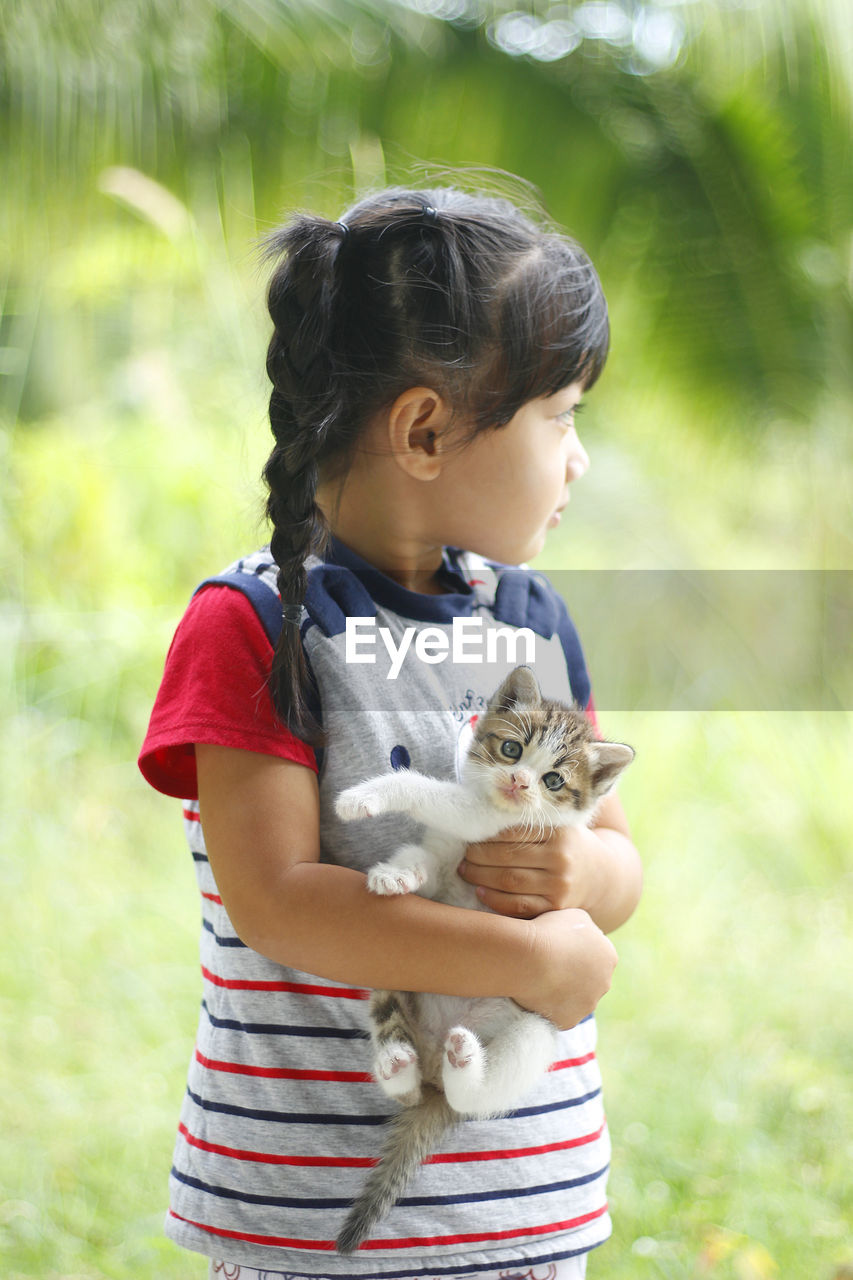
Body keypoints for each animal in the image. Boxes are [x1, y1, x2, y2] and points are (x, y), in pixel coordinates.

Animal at [333, 665, 630, 1254]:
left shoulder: (489, 828)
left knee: (470, 1097)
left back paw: (464, 1063)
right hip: (389, 971)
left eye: (554, 781)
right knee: (404, 1073)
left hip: (535, 1029)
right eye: (511, 748)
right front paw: (396, 874)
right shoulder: (447, 859)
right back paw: (395, 1063)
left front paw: (365, 797)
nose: (518, 783)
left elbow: (431, 792)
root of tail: (432, 1064)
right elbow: (422, 863)